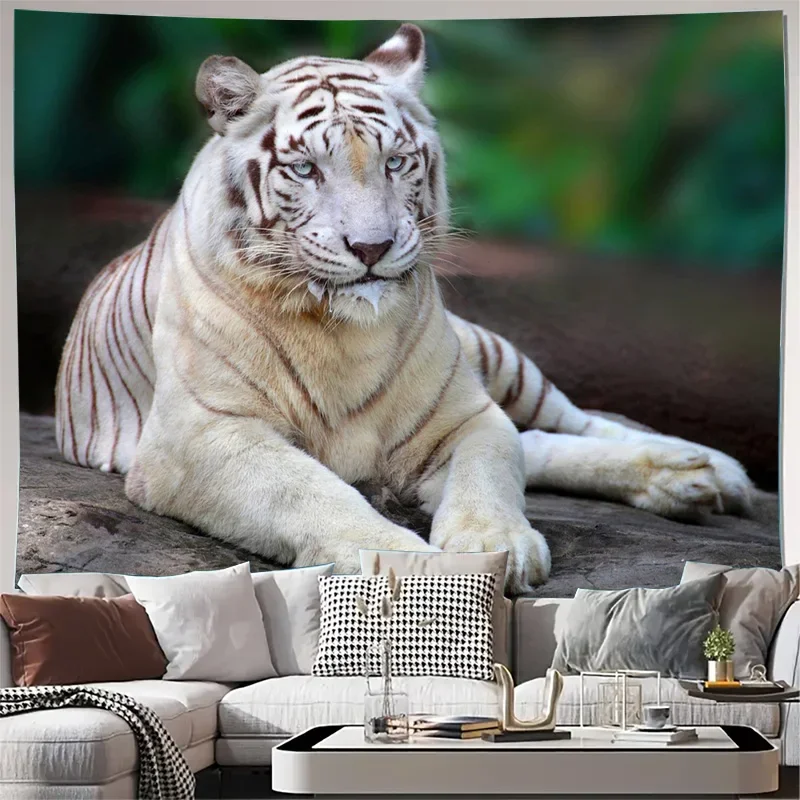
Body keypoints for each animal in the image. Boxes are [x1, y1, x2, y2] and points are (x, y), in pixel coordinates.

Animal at [55, 24, 754, 594]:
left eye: (396, 162)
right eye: (305, 170)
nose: (371, 247)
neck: (340, 333)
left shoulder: (465, 416)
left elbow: (492, 469)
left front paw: (492, 543)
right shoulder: (201, 436)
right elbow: (309, 492)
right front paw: (400, 561)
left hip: (496, 358)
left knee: (572, 423)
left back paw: (704, 470)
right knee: (540, 440)